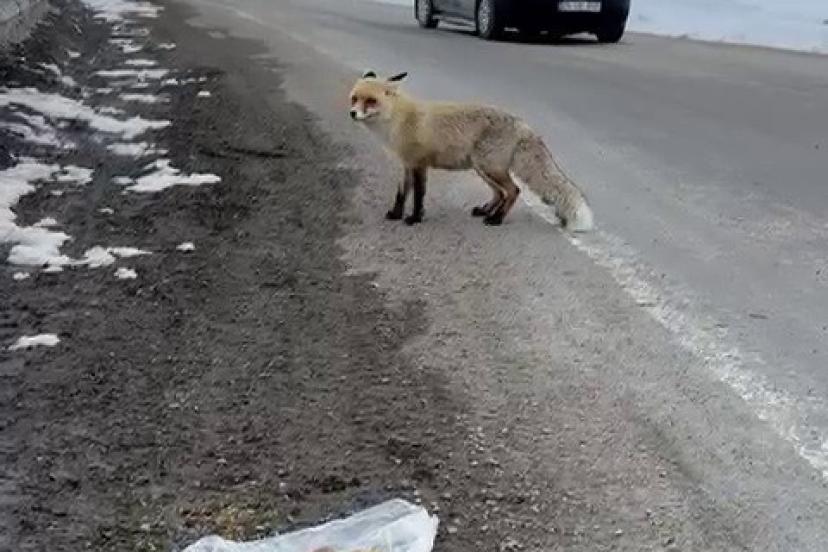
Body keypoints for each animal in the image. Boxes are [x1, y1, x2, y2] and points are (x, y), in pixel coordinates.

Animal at [348, 70, 593, 232]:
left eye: (371, 101)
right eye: (354, 98)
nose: (352, 113)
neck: (399, 121)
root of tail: (522, 123)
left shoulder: (419, 165)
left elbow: (418, 196)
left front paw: (415, 218)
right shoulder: (407, 165)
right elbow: (401, 195)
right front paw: (396, 214)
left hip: (489, 167)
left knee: (513, 191)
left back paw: (496, 219)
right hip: (482, 169)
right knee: (500, 193)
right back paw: (486, 211)